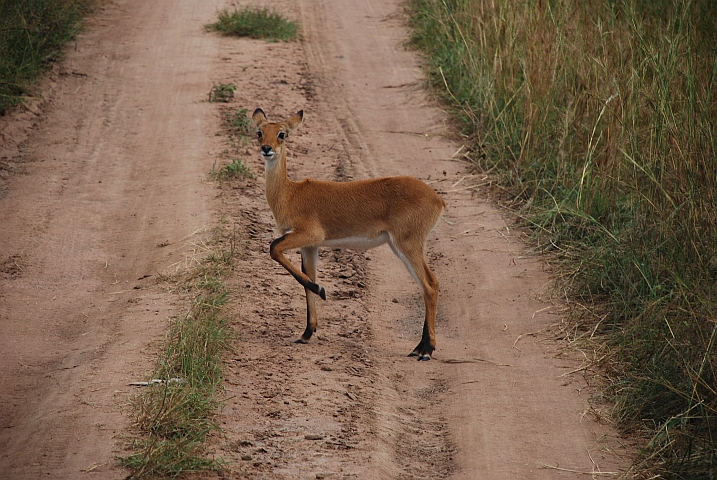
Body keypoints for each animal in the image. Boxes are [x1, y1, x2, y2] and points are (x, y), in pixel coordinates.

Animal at [250, 107, 442, 358]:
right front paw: (306, 333)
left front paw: (322, 291)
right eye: (259, 132)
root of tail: (438, 200)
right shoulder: (309, 246)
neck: (290, 194)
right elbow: (307, 279)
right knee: (427, 285)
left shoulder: (309, 235)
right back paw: (418, 348)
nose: (267, 148)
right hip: (399, 245)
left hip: (408, 244)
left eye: (282, 133)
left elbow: (274, 249)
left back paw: (426, 351)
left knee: (430, 285)